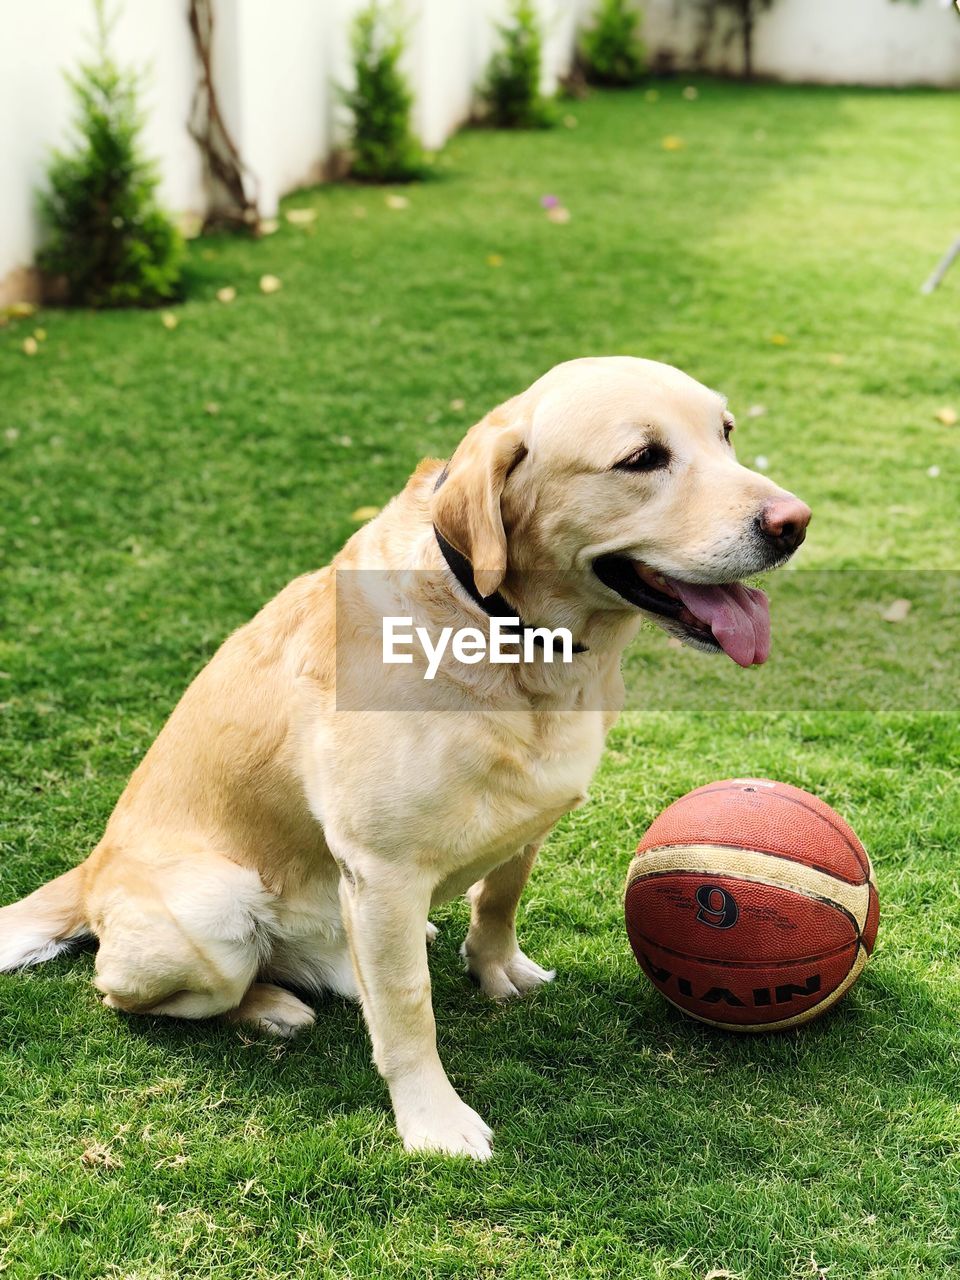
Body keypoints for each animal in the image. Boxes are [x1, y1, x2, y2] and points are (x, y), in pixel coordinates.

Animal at [0, 358, 814, 1162]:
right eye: (642, 459)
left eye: (727, 432)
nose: (794, 524)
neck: (505, 631)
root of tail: (91, 866)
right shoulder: (383, 870)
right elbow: (407, 1009)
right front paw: (432, 1121)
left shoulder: (530, 819)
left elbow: (499, 900)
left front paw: (496, 968)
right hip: (213, 915)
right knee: (137, 990)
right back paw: (268, 1007)